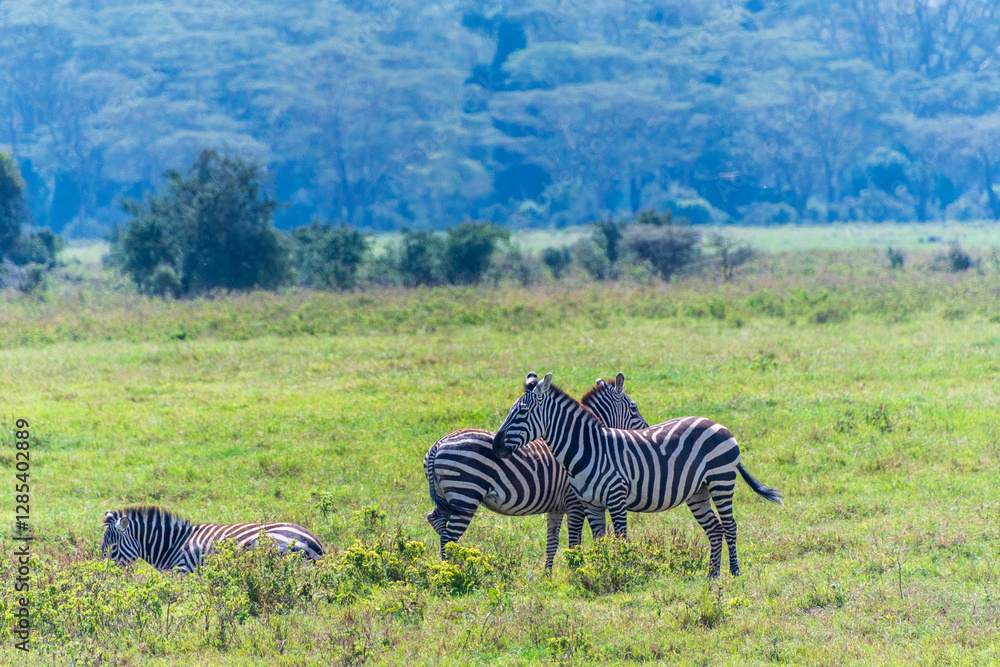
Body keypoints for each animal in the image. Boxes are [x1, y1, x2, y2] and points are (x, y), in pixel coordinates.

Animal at [424, 372, 648, 570]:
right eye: (634, 408)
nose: (646, 429)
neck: (585, 444)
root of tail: (437, 445)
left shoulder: (556, 507)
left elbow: (552, 544)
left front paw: (548, 576)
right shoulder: (574, 503)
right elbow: (574, 543)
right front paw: (576, 571)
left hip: (449, 497)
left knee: (435, 520)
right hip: (466, 495)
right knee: (448, 537)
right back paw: (452, 570)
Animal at [493, 372, 783, 578]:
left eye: (521, 412)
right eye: (511, 411)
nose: (495, 446)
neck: (589, 448)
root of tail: (717, 423)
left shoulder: (614, 498)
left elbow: (618, 540)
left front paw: (620, 572)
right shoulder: (590, 504)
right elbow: (599, 542)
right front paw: (599, 572)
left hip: (721, 480)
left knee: (730, 525)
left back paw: (734, 572)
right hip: (698, 491)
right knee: (715, 528)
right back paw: (712, 575)